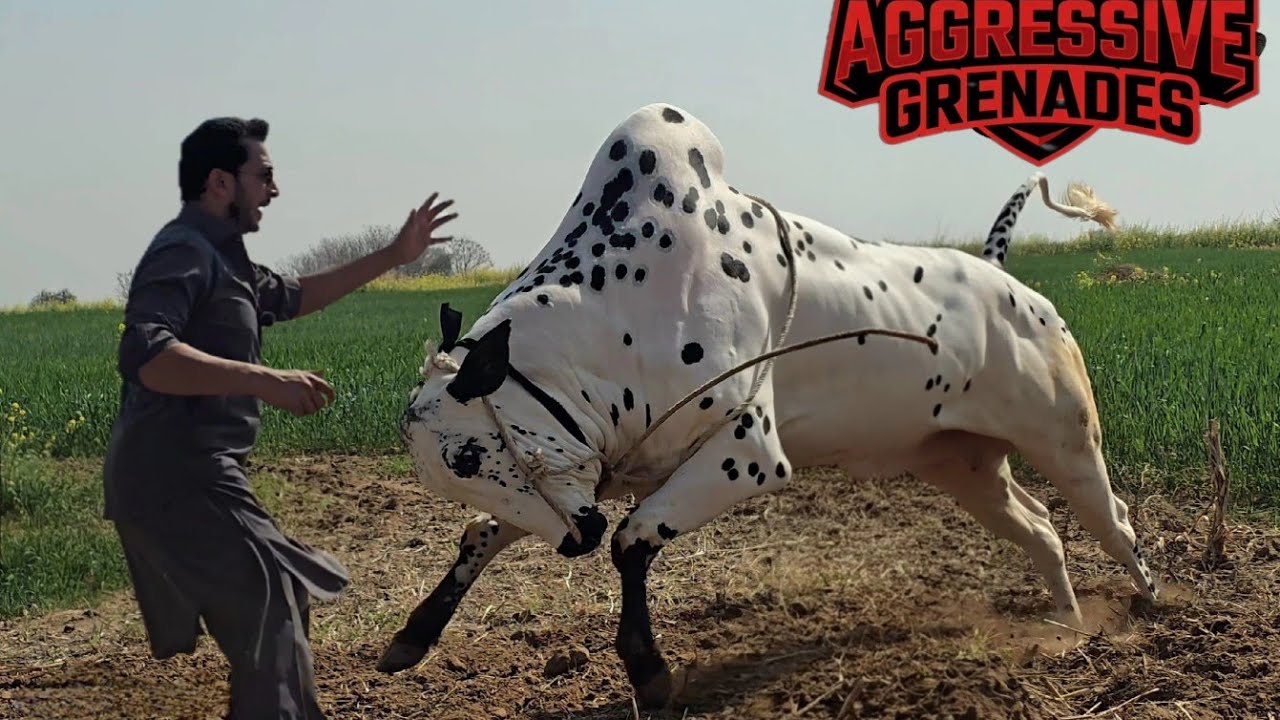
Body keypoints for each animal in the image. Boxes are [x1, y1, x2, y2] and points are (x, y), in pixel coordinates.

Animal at [377, 102, 1153, 709]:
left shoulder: (747, 453)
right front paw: (409, 638)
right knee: (1043, 530)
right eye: (452, 473)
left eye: (468, 453)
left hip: (1067, 441)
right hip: (964, 469)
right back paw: (1065, 625)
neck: (616, 310)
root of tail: (1001, 275)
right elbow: (482, 534)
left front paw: (651, 676)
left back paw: (1151, 609)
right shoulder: (593, 477)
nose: (573, 543)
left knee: (1115, 524)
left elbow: (632, 540)